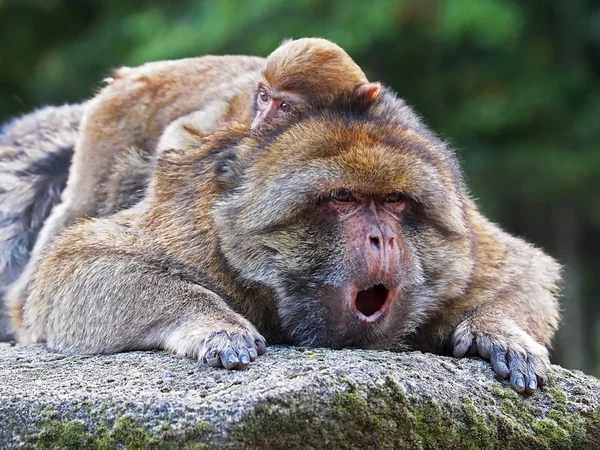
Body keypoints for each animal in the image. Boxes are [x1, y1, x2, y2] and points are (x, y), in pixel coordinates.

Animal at [7, 38, 380, 332]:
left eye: (285, 105)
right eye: (263, 98)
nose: (261, 120)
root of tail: (131, 75)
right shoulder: (239, 121)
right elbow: (184, 136)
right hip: (113, 116)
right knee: (82, 203)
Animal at [19, 87, 564, 394]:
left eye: (394, 202)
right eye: (343, 198)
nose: (381, 238)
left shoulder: (461, 256)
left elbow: (523, 270)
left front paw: (500, 332)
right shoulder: (198, 230)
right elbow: (78, 264)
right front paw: (213, 323)